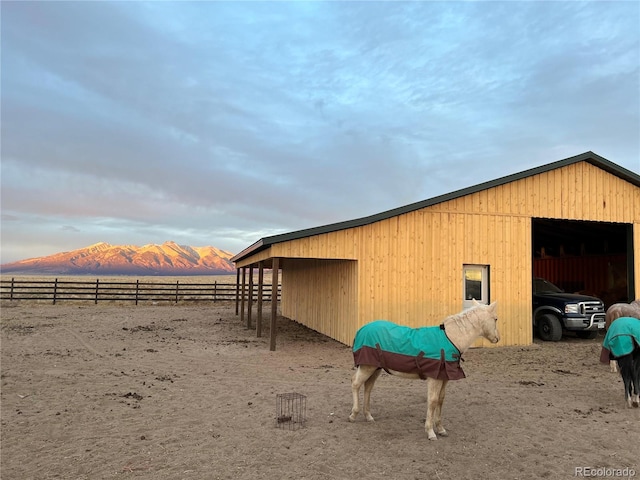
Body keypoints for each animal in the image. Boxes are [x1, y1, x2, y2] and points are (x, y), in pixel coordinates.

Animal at [350, 302, 500, 440]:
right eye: (495, 319)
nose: (497, 338)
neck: (451, 339)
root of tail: (362, 329)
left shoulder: (444, 378)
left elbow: (440, 399)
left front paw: (440, 429)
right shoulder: (434, 378)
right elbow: (432, 401)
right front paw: (430, 432)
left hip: (375, 368)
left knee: (368, 387)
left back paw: (368, 416)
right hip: (367, 367)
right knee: (356, 384)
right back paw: (353, 414)